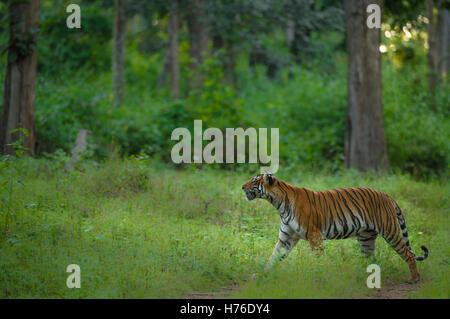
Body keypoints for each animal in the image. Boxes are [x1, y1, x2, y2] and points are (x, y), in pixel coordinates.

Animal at [243, 175, 428, 282]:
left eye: (254, 181)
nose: (242, 187)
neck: (278, 203)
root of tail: (387, 195)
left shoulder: (314, 235)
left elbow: (319, 258)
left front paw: (321, 276)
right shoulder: (286, 238)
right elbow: (273, 258)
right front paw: (261, 275)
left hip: (390, 231)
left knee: (408, 253)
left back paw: (414, 278)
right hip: (366, 238)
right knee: (372, 259)